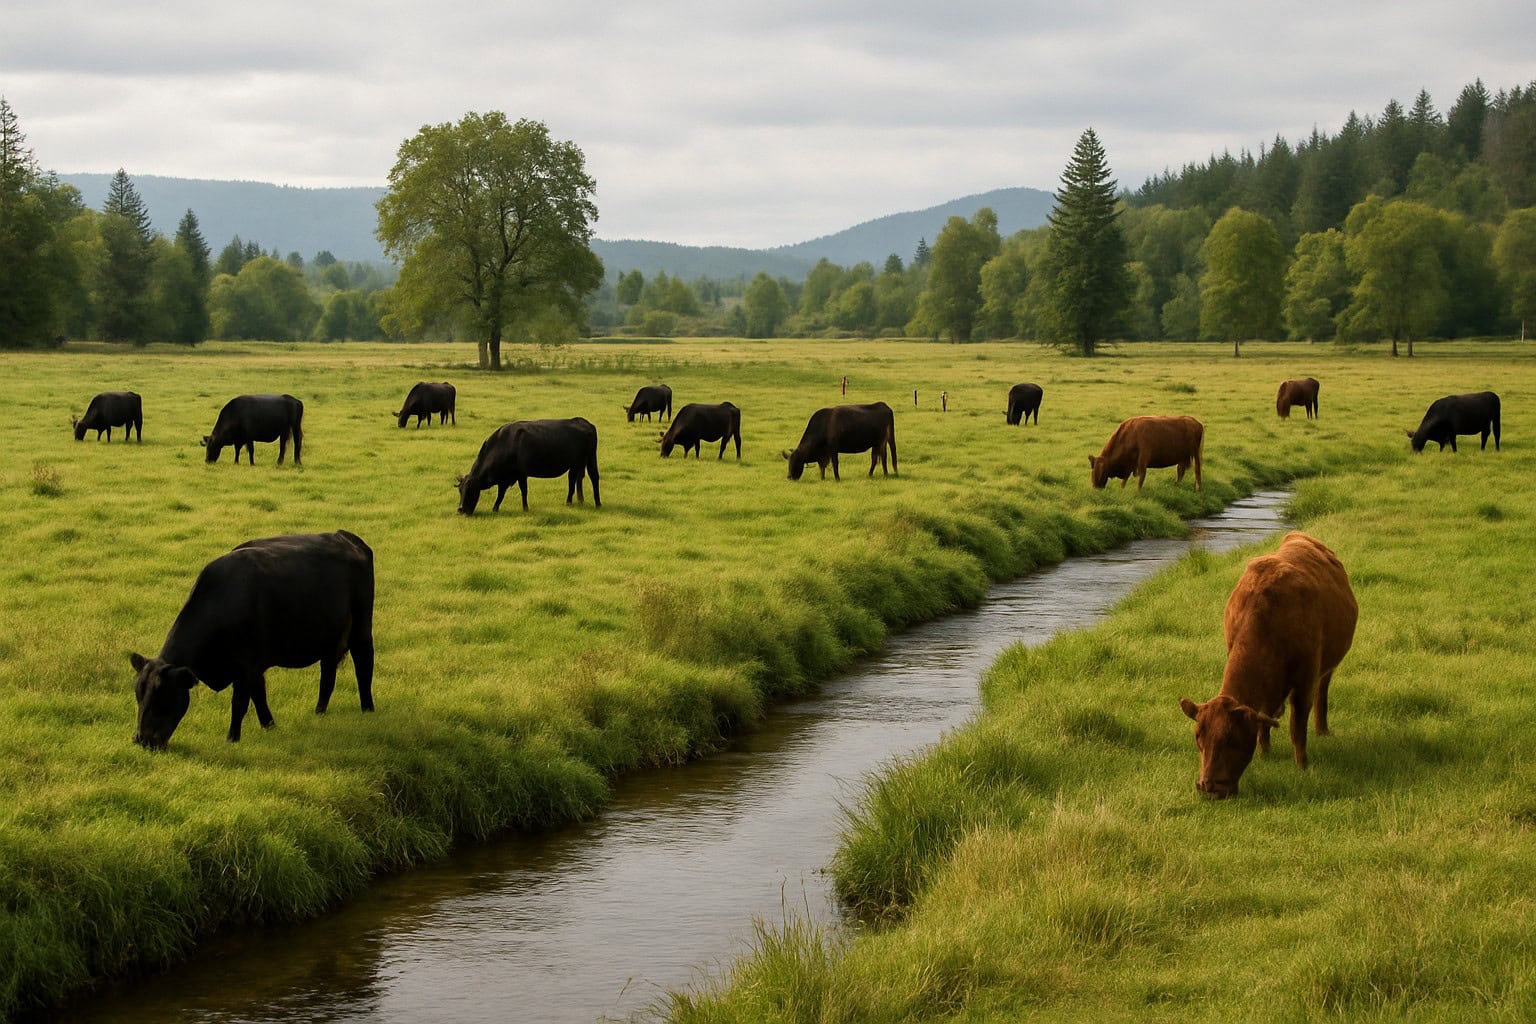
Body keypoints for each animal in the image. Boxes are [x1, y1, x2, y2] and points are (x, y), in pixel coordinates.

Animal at [129, 530, 375, 749]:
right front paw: (270, 726)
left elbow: (240, 703)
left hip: (362, 628)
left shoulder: (247, 666)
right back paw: (319, 713)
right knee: (328, 674)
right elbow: (259, 696)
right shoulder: (254, 667)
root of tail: (347, 536)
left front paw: (232, 739)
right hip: (329, 638)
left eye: (162, 696)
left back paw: (368, 710)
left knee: (363, 665)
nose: (141, 740)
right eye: (138, 694)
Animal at [456, 418, 601, 513]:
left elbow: (524, 490)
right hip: (577, 463)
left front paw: (525, 508)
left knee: (592, 477)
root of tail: (583, 422)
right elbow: (501, 494)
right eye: (460, 490)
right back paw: (576, 501)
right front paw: (495, 508)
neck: (505, 444)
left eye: (470, 490)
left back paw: (594, 503)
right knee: (576, 478)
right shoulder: (505, 477)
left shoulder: (521, 473)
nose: (460, 509)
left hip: (588, 459)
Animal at [1179, 531, 1357, 799]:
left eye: (1233, 740)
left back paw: (1322, 730)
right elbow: (1262, 718)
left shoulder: (1305, 678)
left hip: (1327, 667)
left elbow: (1297, 727)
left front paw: (1302, 766)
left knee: (1322, 690)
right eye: (1197, 737)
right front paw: (1265, 755)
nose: (1209, 786)